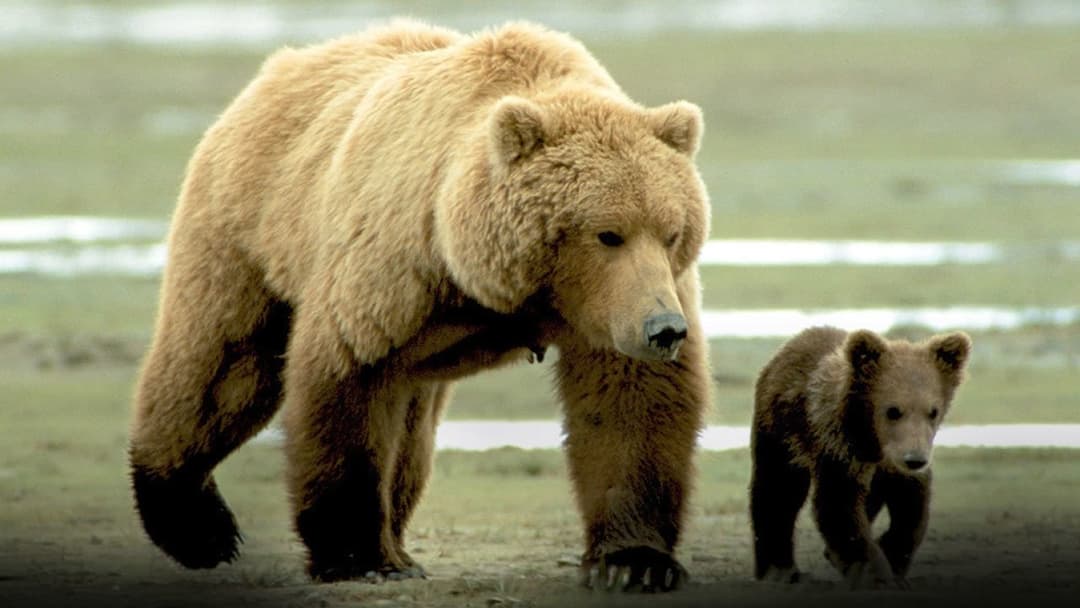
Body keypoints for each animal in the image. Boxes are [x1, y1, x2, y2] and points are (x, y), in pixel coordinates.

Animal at [127, 20, 711, 591]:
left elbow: (630, 403)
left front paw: (633, 561)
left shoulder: (614, 308)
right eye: (608, 233)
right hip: (250, 228)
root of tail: (282, 65)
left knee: (409, 435)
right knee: (222, 367)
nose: (664, 328)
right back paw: (197, 527)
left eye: (671, 231)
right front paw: (357, 556)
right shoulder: (395, 267)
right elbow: (348, 380)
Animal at [749, 326, 971, 589]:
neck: (873, 441)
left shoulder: (901, 468)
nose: (914, 459)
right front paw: (875, 573)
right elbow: (839, 507)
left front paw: (892, 558)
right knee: (777, 489)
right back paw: (779, 569)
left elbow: (911, 510)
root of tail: (792, 343)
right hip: (782, 431)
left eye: (933, 411)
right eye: (893, 410)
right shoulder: (840, 449)